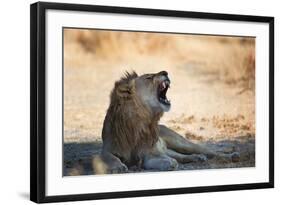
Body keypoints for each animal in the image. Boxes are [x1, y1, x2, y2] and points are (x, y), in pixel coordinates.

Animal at [92, 71, 238, 175]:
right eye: (148, 77)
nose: (165, 72)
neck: (139, 120)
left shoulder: (149, 152)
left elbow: (155, 159)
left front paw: (168, 163)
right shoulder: (107, 149)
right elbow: (106, 157)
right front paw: (117, 167)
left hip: (182, 143)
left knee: (210, 151)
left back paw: (231, 155)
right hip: (171, 149)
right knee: (181, 156)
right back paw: (197, 158)